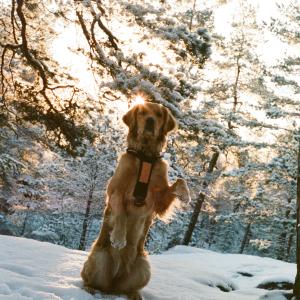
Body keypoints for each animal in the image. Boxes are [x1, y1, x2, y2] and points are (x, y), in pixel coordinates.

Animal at [80, 101, 190, 300]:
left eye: (159, 114)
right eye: (142, 112)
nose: (150, 121)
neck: (145, 155)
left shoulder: (159, 201)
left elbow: (180, 180)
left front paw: (186, 195)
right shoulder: (115, 191)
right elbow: (121, 214)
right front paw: (118, 238)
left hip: (144, 268)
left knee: (127, 289)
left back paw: (135, 295)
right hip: (97, 259)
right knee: (92, 281)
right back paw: (90, 289)